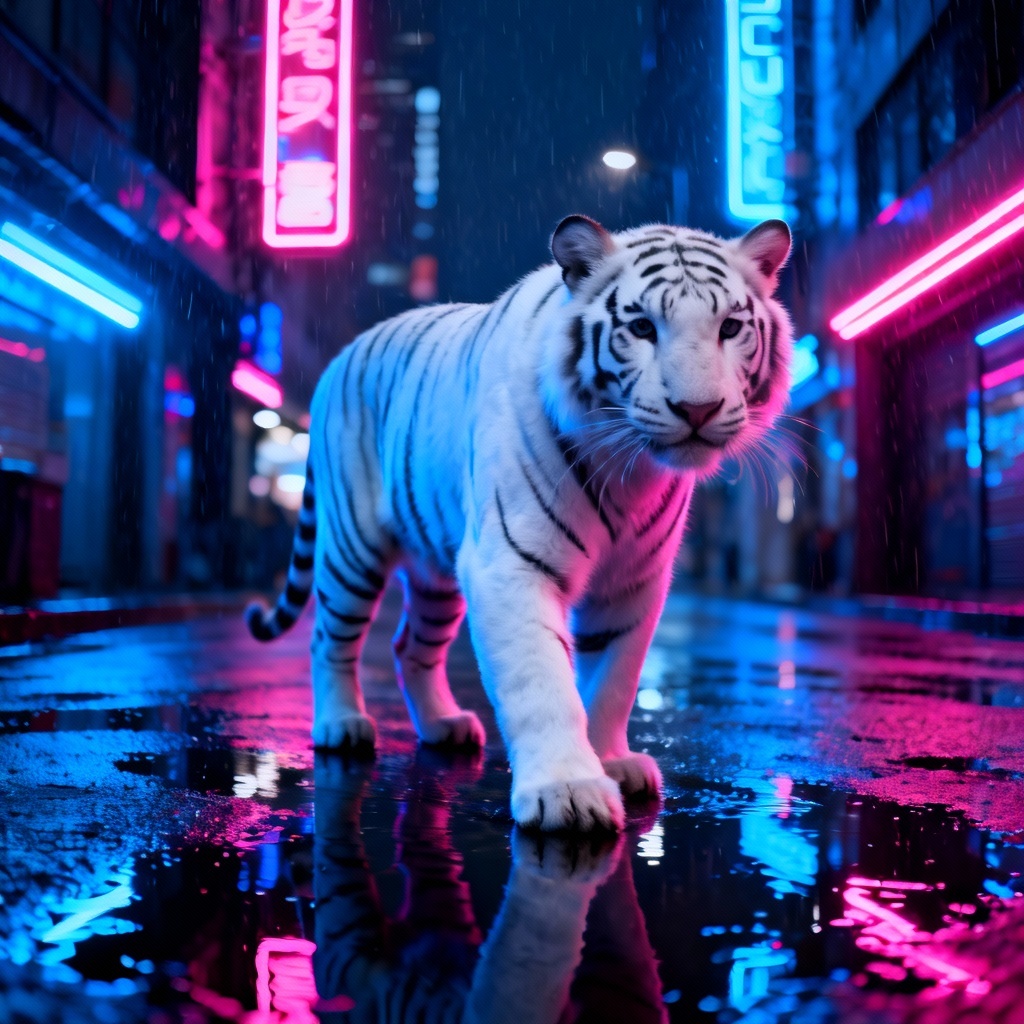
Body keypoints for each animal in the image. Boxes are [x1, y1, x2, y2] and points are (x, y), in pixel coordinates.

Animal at [247, 214, 793, 832]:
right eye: (642, 328)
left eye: (730, 327)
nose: (698, 410)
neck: (628, 471)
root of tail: (345, 352)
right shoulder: (511, 563)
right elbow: (541, 680)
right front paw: (568, 791)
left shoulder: (633, 582)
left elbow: (613, 679)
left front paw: (611, 761)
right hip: (350, 550)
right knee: (329, 637)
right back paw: (341, 725)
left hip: (438, 568)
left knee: (411, 645)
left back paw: (443, 725)